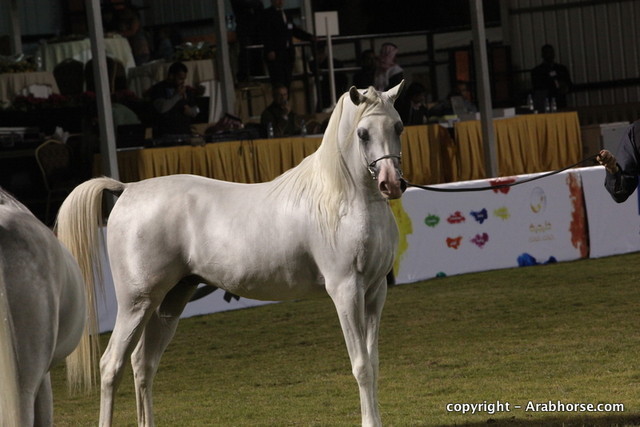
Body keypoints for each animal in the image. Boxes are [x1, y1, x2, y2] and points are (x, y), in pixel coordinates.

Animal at [55, 81, 407, 427]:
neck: (341, 200)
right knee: (111, 365)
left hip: (169, 301)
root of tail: (127, 189)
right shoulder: (345, 290)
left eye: (399, 126)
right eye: (362, 133)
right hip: (136, 302)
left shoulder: (375, 292)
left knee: (143, 364)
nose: (391, 183)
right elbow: (361, 365)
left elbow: (373, 362)